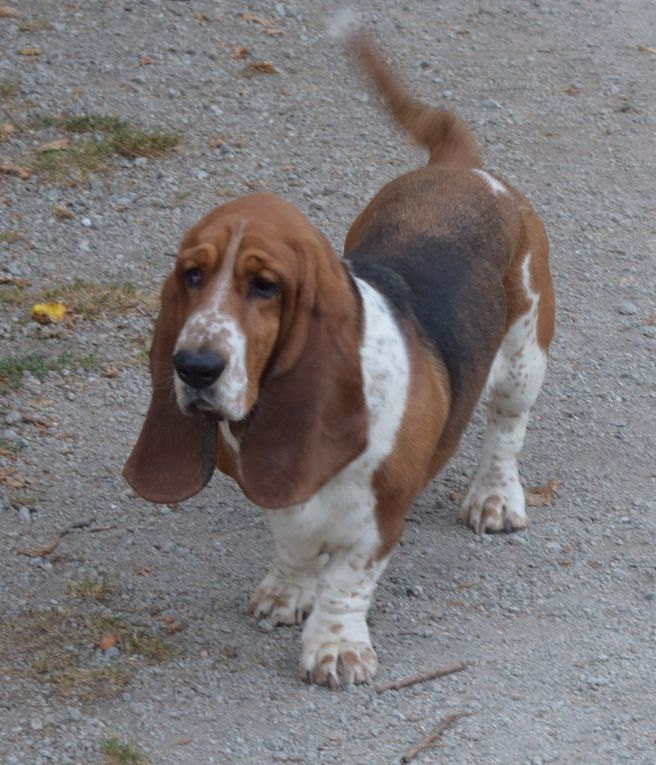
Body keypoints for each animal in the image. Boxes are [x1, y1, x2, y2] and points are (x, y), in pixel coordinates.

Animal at [123, 32, 552, 688]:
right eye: (191, 275)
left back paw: (495, 499)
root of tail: (460, 168)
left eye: (265, 286)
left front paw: (335, 648)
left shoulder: (380, 516)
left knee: (506, 428)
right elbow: (294, 545)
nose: (195, 367)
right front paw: (285, 593)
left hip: (524, 355)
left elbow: (349, 580)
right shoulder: (276, 490)